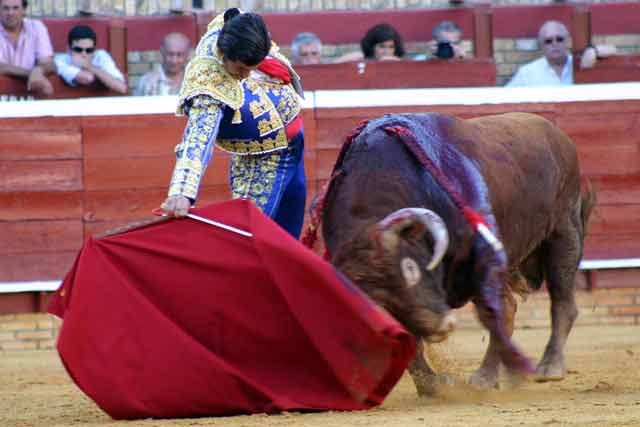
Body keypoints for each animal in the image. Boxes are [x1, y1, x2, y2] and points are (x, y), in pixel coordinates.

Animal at [316, 112, 596, 396]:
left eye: (411, 269)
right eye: (373, 303)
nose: (442, 326)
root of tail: (558, 136)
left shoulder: (482, 263)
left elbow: (495, 312)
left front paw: (489, 377)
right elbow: (409, 340)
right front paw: (433, 385)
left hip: (564, 232)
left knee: (561, 302)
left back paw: (549, 367)